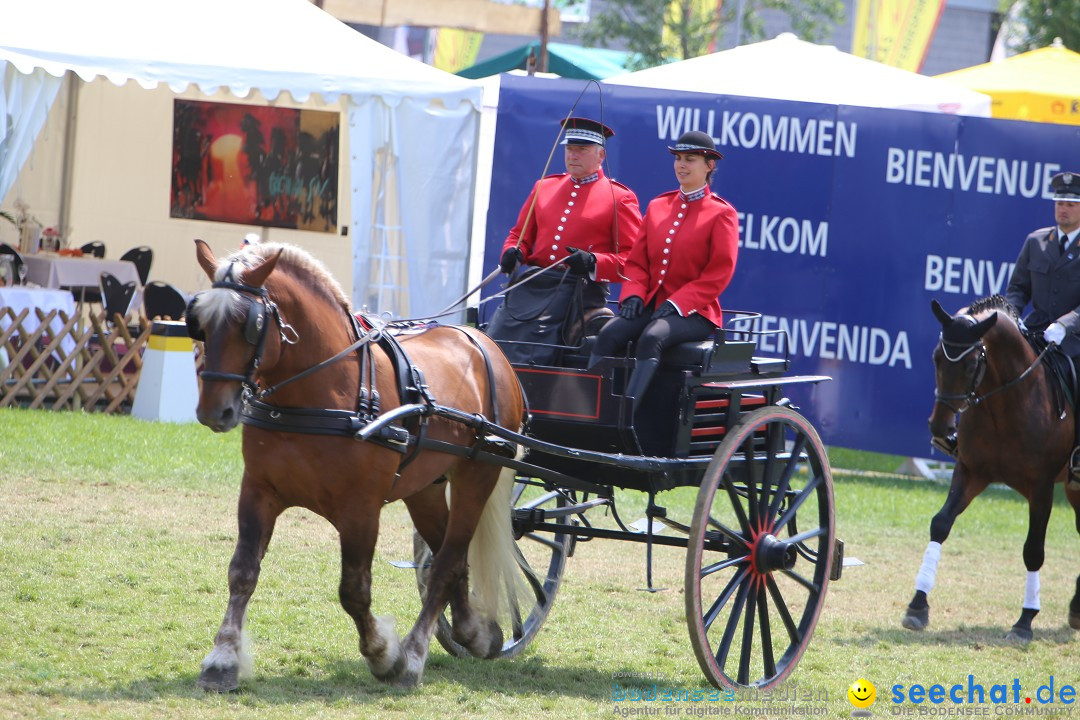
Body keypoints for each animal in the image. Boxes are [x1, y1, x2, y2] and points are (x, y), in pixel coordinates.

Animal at [189, 240, 527, 686]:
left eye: (249, 323)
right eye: (199, 321)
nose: (215, 411)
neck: (325, 389)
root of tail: (487, 345)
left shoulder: (361, 510)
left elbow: (353, 590)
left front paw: (383, 653)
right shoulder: (259, 491)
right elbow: (242, 571)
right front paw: (224, 657)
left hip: (477, 476)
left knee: (447, 561)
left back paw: (414, 656)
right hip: (425, 489)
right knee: (450, 558)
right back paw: (475, 633)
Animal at [902, 295, 1080, 643]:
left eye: (972, 365)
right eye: (935, 358)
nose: (941, 427)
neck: (1006, 402)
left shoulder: (1041, 488)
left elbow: (1033, 550)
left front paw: (1025, 621)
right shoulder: (971, 471)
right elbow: (940, 524)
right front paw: (918, 604)